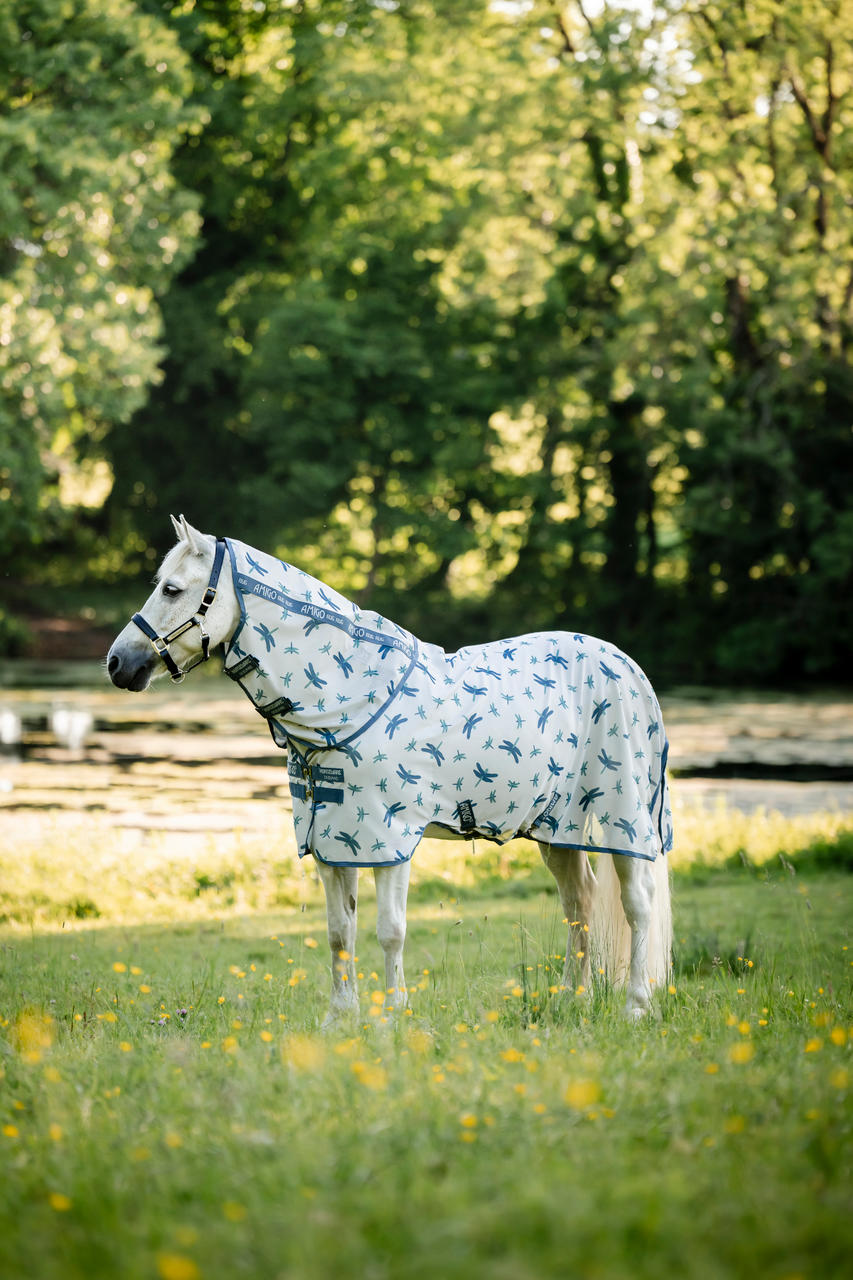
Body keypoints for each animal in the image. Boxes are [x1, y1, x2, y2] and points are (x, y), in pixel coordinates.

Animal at [107, 516, 673, 1023]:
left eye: (173, 589)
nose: (117, 663)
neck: (350, 701)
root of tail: (628, 667)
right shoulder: (331, 841)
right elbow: (340, 931)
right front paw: (341, 1018)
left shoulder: (391, 838)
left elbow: (390, 930)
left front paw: (393, 1016)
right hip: (557, 827)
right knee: (580, 902)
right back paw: (572, 1000)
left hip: (623, 819)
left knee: (637, 904)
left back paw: (636, 1007)